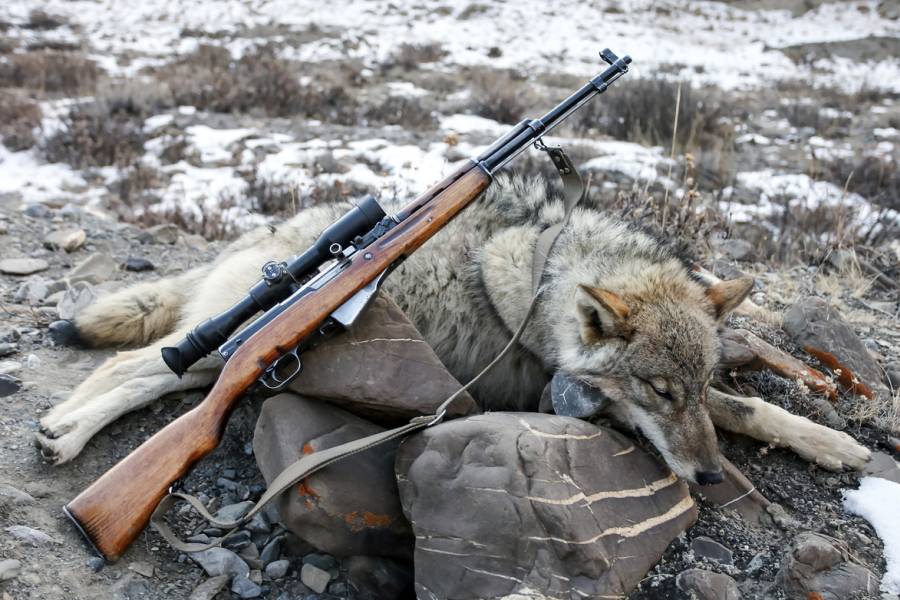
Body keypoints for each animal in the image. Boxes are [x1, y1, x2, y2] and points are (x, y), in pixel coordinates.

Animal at [37, 171, 872, 480]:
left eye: (690, 389)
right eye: (659, 394)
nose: (706, 479)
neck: (548, 269)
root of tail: (268, 243)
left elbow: (746, 403)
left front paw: (829, 440)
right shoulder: (562, 395)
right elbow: (746, 410)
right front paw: (832, 442)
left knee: (147, 372)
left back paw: (59, 430)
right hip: (229, 354)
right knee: (134, 367)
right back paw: (64, 437)